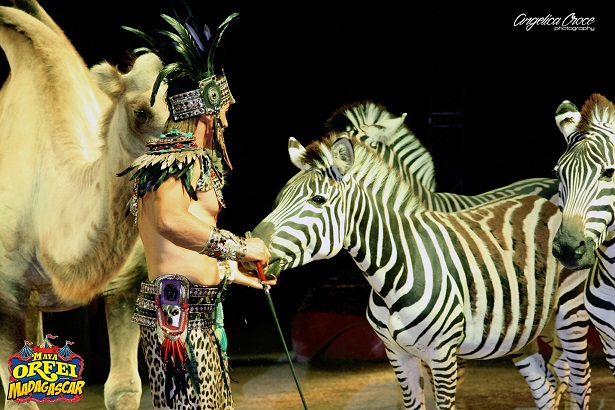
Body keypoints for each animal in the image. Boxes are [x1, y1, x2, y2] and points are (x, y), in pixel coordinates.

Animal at [254, 132, 592, 410]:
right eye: (278, 200)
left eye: (318, 200)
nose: (253, 247)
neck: (391, 274)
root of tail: (549, 203)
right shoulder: (398, 355)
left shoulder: (442, 356)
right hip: (526, 329)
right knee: (547, 388)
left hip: (571, 313)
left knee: (580, 381)